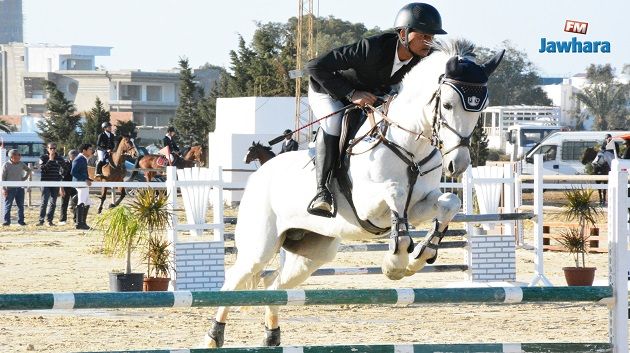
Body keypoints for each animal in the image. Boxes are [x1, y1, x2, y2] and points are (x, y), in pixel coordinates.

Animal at [205, 37, 506, 346]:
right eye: (446, 105)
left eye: (481, 109)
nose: (458, 165)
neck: (409, 145)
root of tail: (260, 174)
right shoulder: (368, 206)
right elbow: (395, 193)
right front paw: (395, 261)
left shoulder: (419, 205)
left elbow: (450, 202)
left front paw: (421, 255)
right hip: (260, 247)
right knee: (234, 281)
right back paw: (214, 337)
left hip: (311, 255)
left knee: (272, 285)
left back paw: (271, 337)